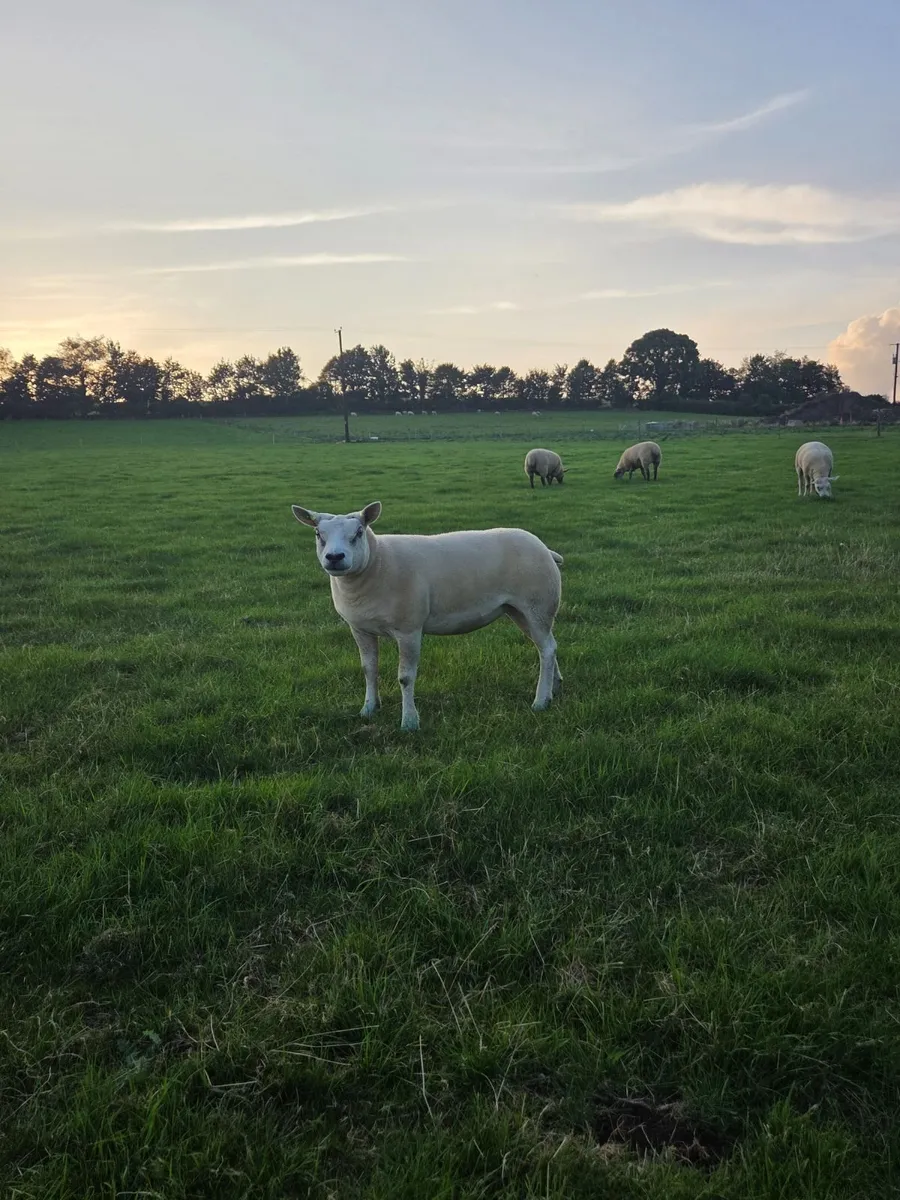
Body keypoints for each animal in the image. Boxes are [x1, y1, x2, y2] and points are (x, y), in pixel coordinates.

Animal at [291, 501, 564, 731]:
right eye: (318, 535)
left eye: (358, 532)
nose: (335, 557)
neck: (376, 563)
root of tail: (547, 549)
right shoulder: (359, 629)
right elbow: (368, 669)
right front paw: (368, 709)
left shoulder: (409, 629)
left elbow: (405, 678)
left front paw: (409, 722)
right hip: (519, 611)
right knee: (546, 647)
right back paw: (554, 687)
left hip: (538, 604)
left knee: (547, 648)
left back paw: (540, 701)